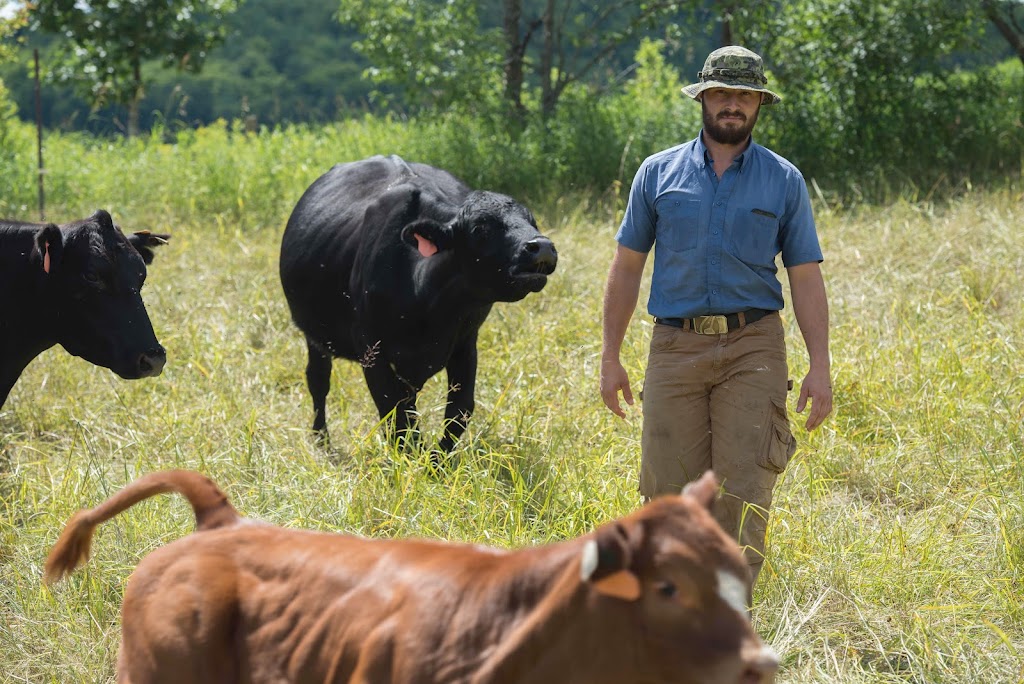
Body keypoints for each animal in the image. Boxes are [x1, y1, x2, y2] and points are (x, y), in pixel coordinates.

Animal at [280, 156, 557, 454]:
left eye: (532, 221)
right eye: (480, 228)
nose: (541, 246)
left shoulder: (465, 342)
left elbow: (459, 409)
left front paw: (436, 459)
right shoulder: (371, 349)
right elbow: (392, 412)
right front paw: (410, 456)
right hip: (314, 335)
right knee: (318, 381)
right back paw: (322, 439)